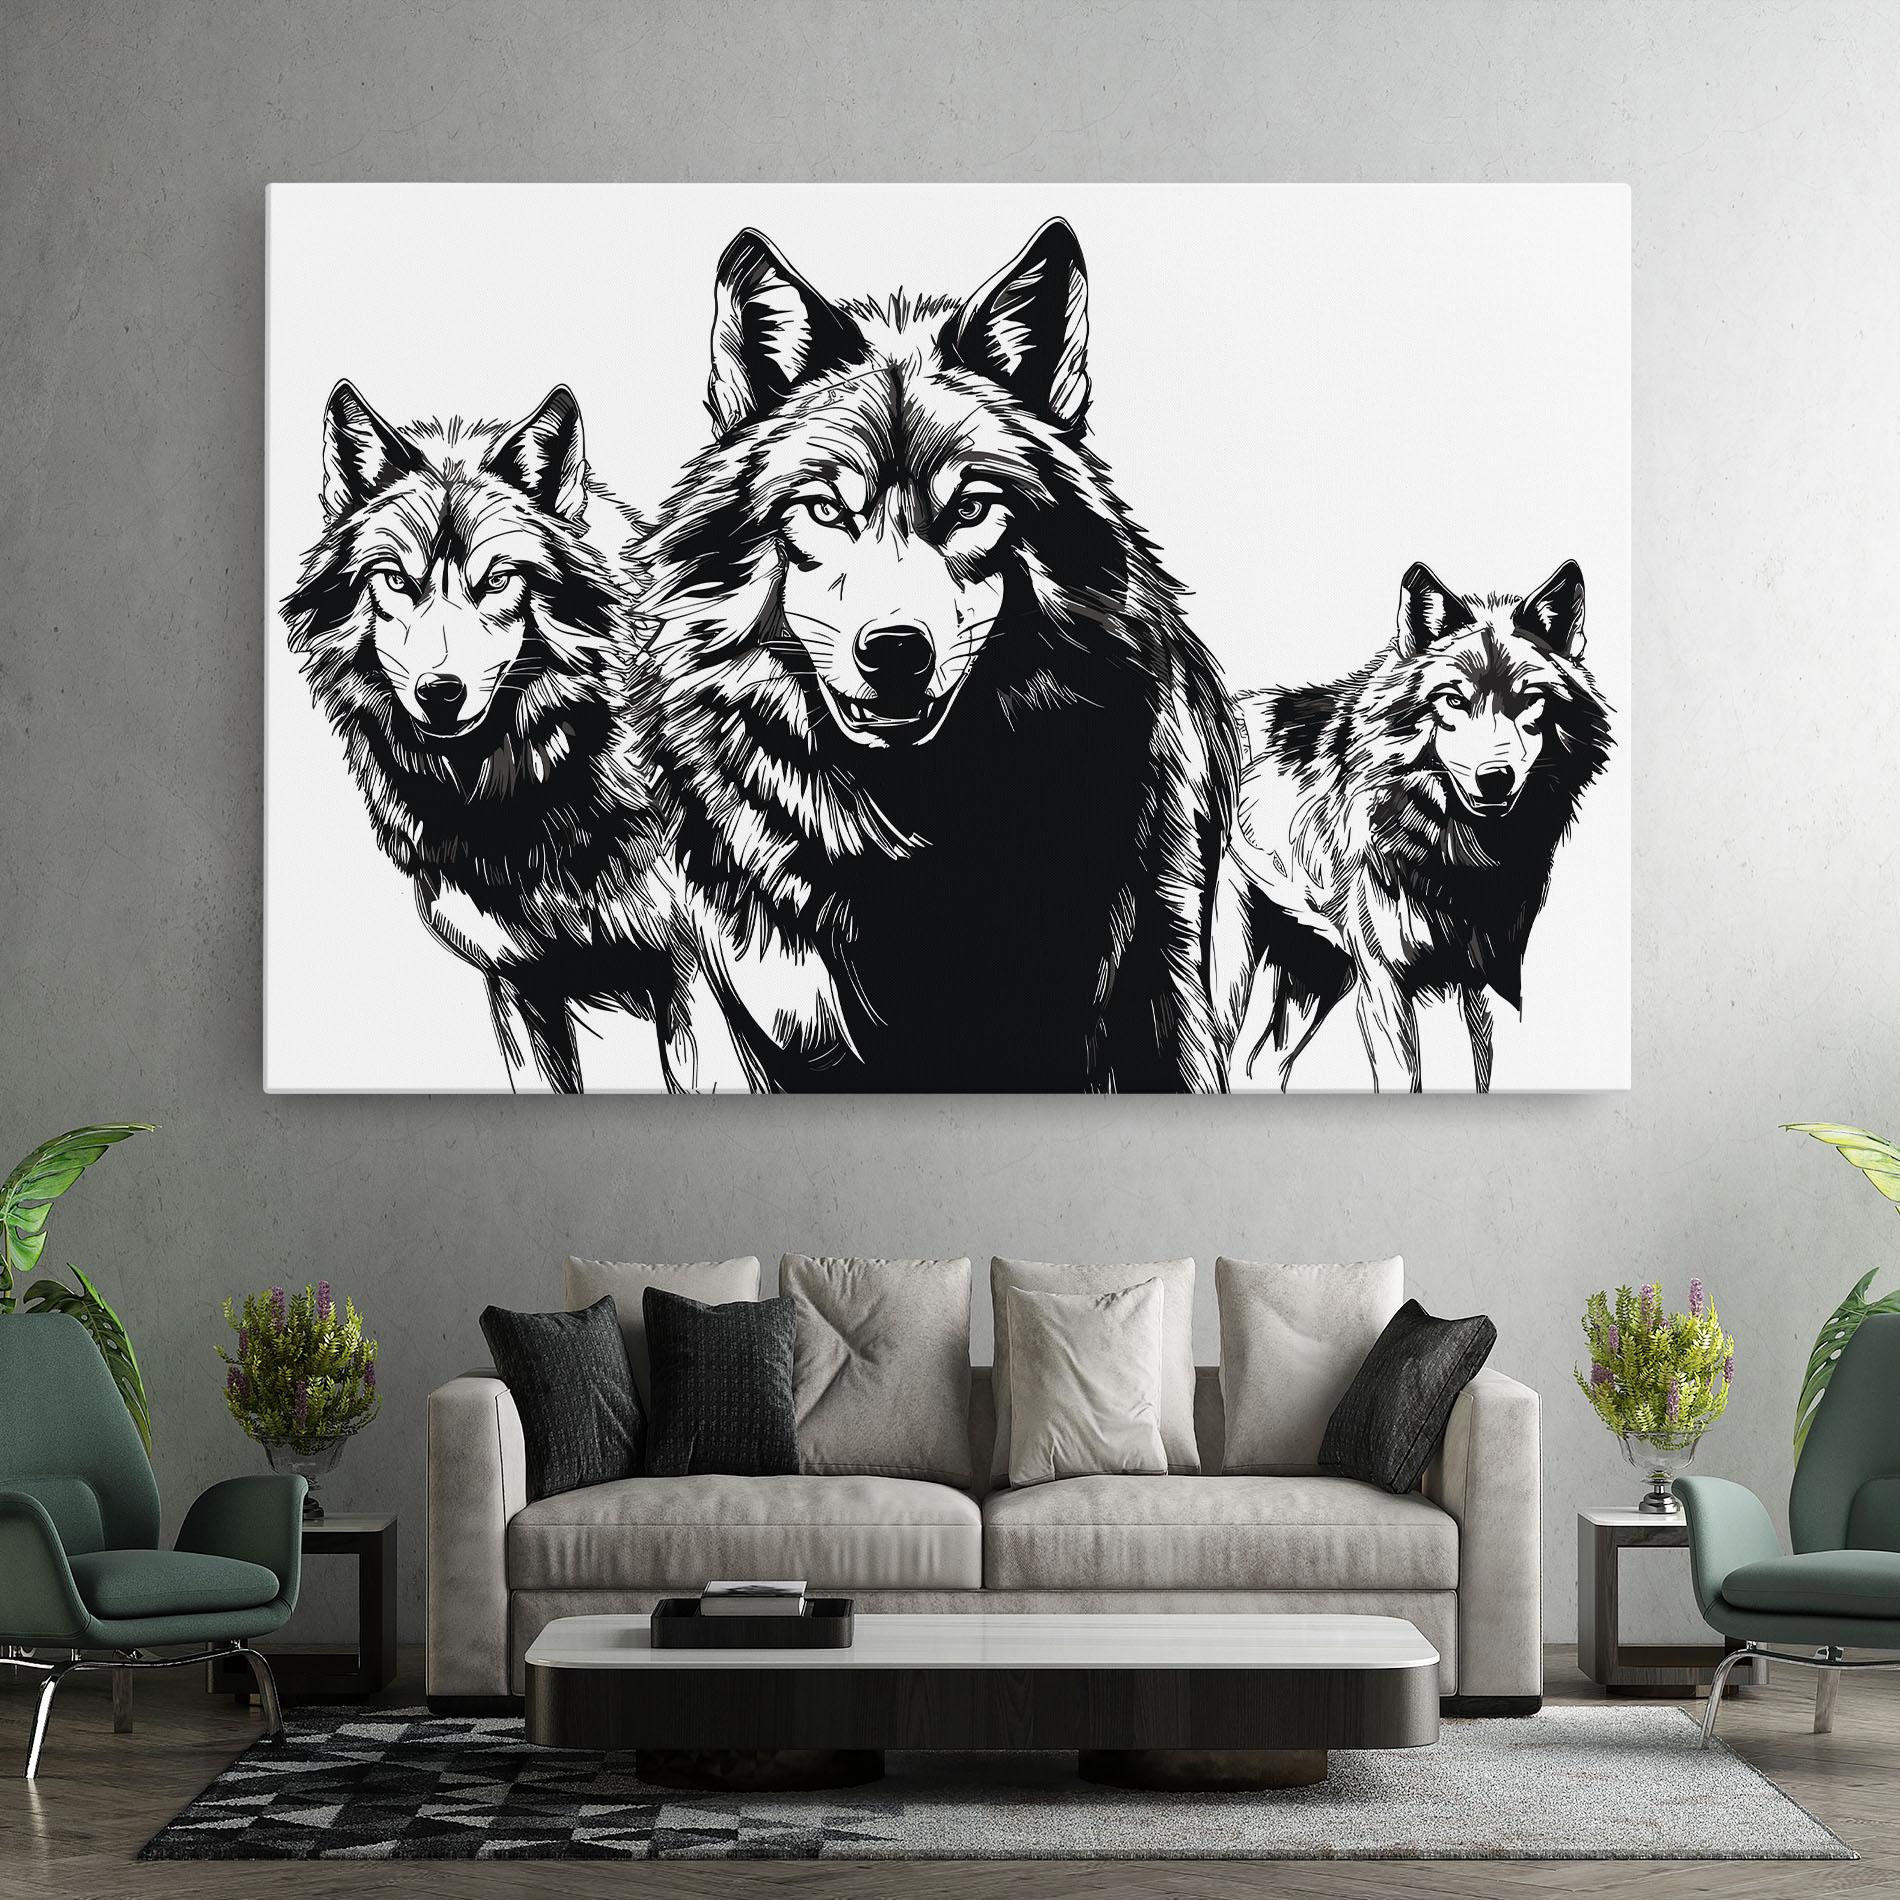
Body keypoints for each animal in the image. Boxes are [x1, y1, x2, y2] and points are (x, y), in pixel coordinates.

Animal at [1216, 560, 1613, 1092]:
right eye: (1452, 700)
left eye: (1529, 699)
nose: (1495, 777)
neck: (1462, 858)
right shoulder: (1386, 985)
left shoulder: (1486, 983)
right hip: (1231, 970)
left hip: (1318, 976)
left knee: (1258, 1063)